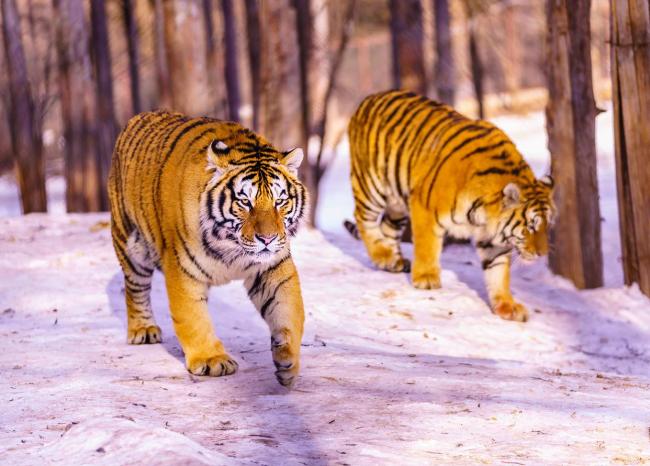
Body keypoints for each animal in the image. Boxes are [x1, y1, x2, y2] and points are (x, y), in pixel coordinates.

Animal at [108, 110, 307, 387]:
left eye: (280, 201)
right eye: (245, 202)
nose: (267, 239)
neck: (232, 247)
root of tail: (138, 117)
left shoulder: (273, 267)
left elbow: (290, 310)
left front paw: (287, 360)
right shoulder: (182, 268)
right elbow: (192, 317)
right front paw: (212, 360)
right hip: (130, 243)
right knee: (135, 288)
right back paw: (143, 330)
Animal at [346, 90, 555, 322]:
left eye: (547, 226)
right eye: (530, 226)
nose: (542, 254)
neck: (485, 214)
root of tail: (371, 97)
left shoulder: (493, 238)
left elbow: (498, 270)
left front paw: (507, 305)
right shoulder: (425, 207)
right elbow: (427, 247)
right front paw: (426, 278)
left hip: (397, 202)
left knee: (387, 227)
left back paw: (392, 261)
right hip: (371, 185)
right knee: (364, 218)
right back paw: (382, 254)